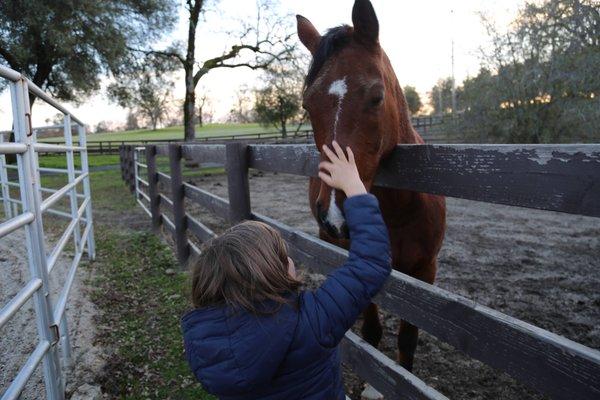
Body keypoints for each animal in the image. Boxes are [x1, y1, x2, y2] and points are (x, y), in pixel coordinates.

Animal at [296, 0, 446, 394]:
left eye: (376, 96)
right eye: (307, 105)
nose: (336, 214)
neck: (398, 211)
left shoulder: (426, 271)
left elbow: (408, 340)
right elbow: (372, 332)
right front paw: (371, 384)